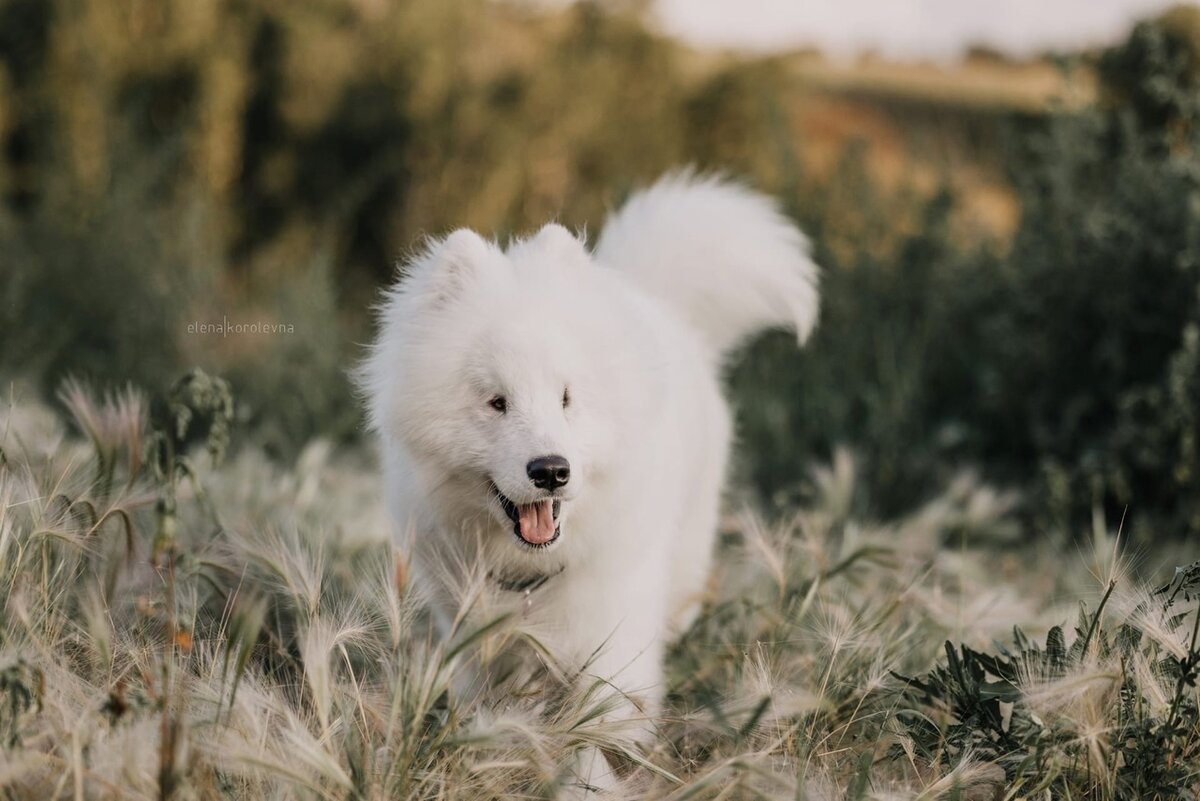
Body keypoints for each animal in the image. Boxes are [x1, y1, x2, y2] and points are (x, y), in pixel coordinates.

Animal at [360, 172, 820, 791]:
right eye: (497, 401)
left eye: (566, 397)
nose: (551, 470)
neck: (528, 573)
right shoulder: (472, 629)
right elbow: (493, 706)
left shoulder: (613, 623)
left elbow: (598, 724)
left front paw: (591, 779)